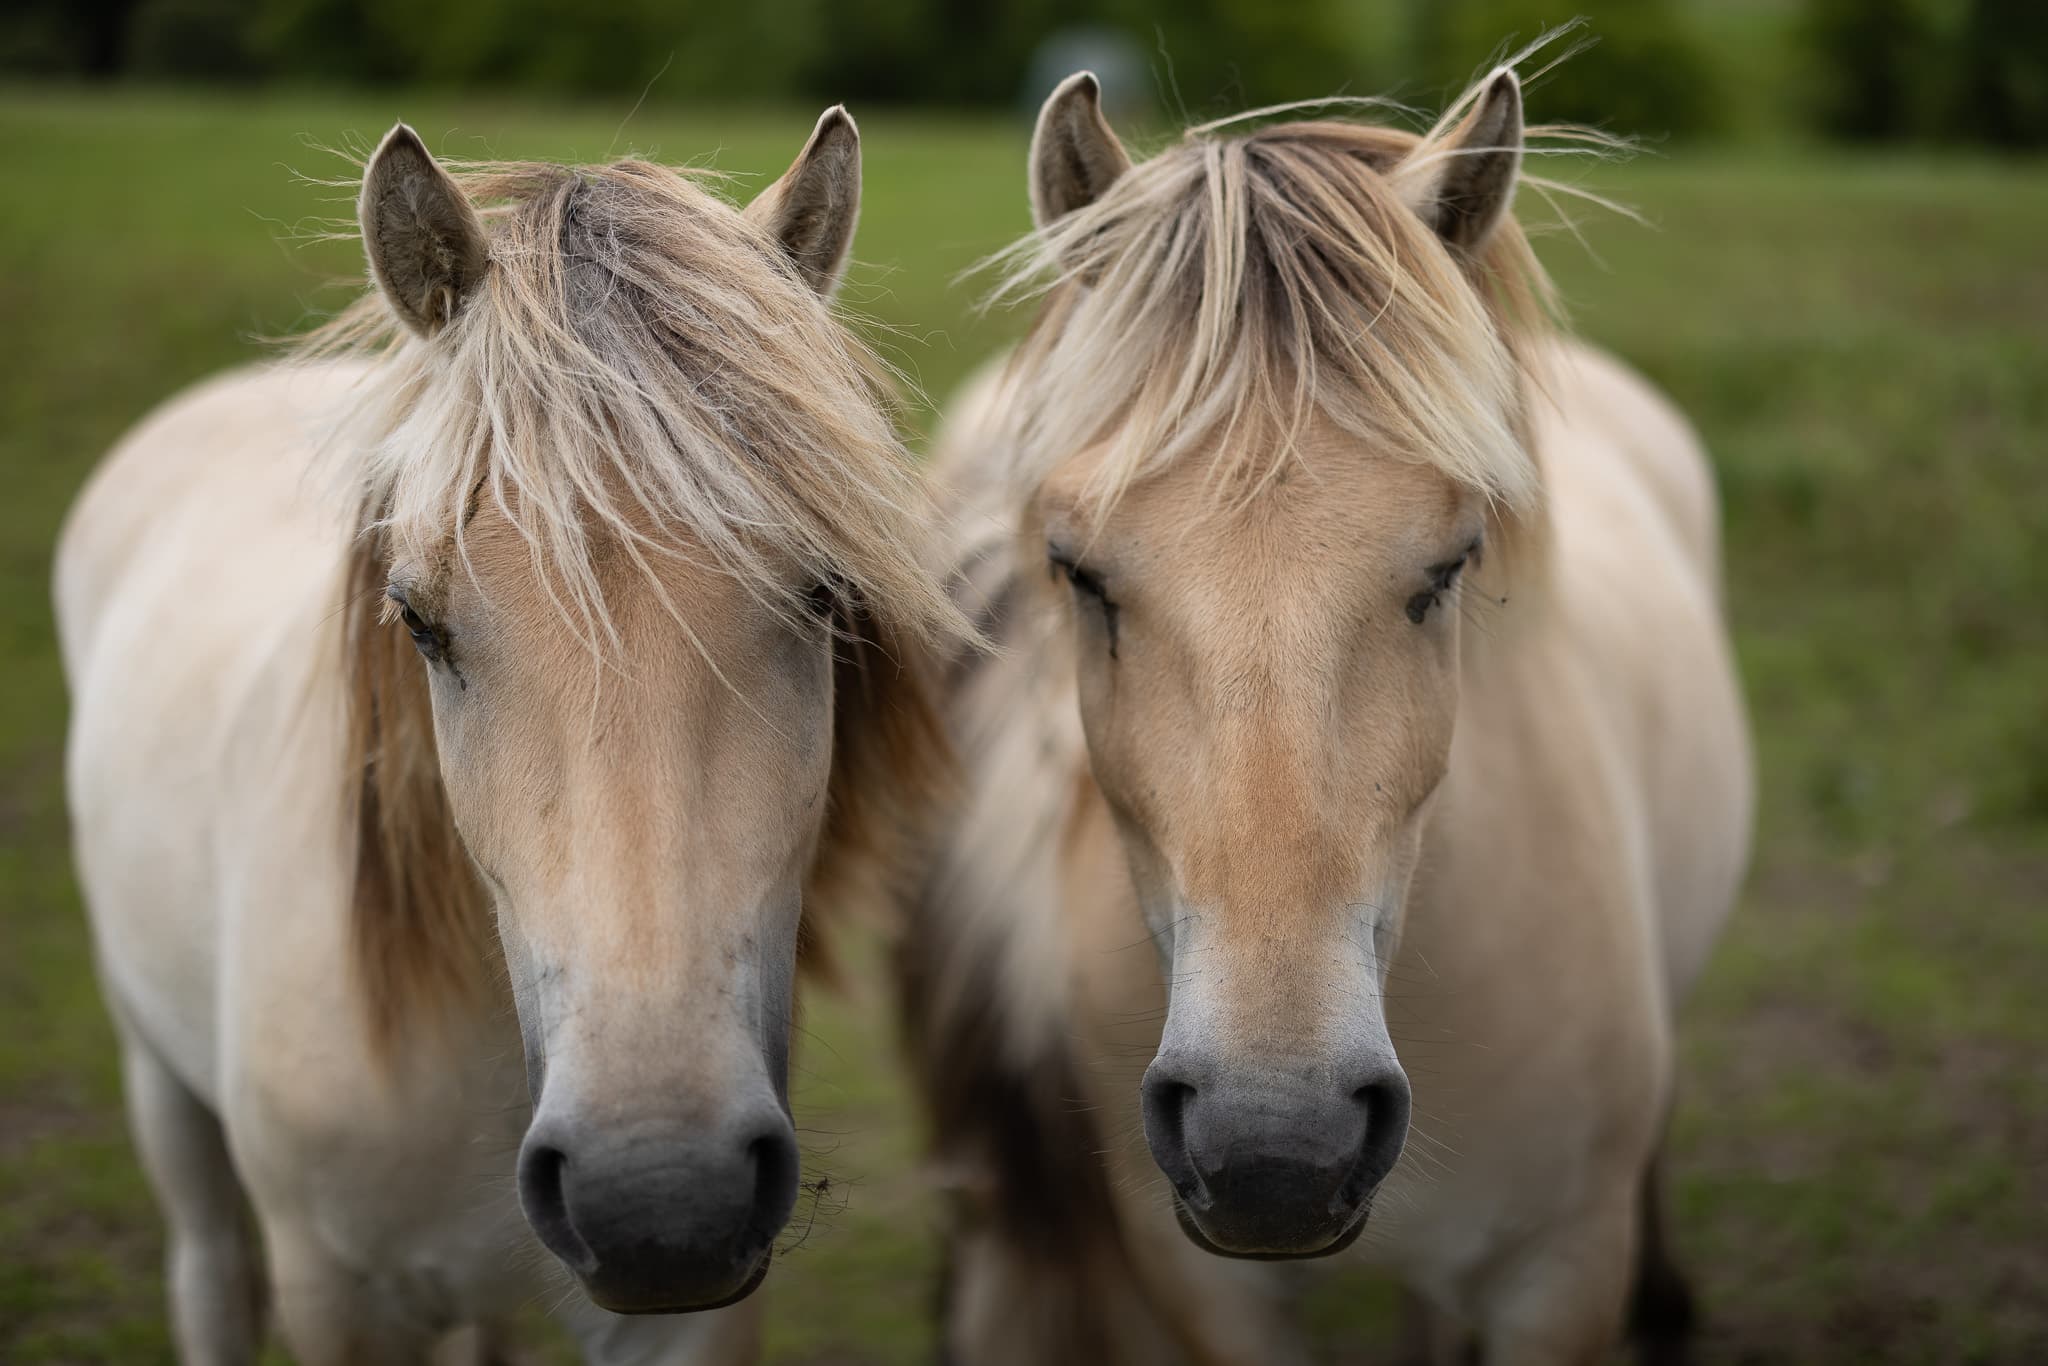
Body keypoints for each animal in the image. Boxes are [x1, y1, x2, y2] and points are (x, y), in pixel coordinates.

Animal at [56, 108, 964, 1364]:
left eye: (826, 595)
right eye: (417, 620)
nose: (658, 1196)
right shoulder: (334, 1297)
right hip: (163, 1087)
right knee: (208, 1274)